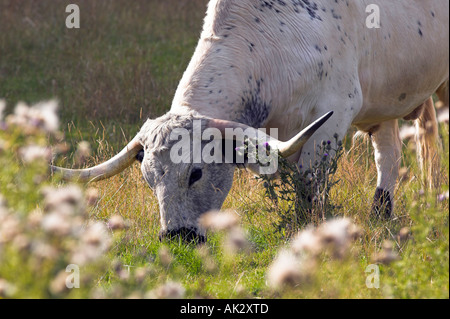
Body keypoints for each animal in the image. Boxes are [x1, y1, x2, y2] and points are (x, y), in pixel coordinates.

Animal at [51, 0, 446, 240]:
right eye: (149, 179)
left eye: (195, 173)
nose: (177, 237)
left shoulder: (333, 116)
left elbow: (309, 190)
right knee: (389, 157)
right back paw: (381, 214)